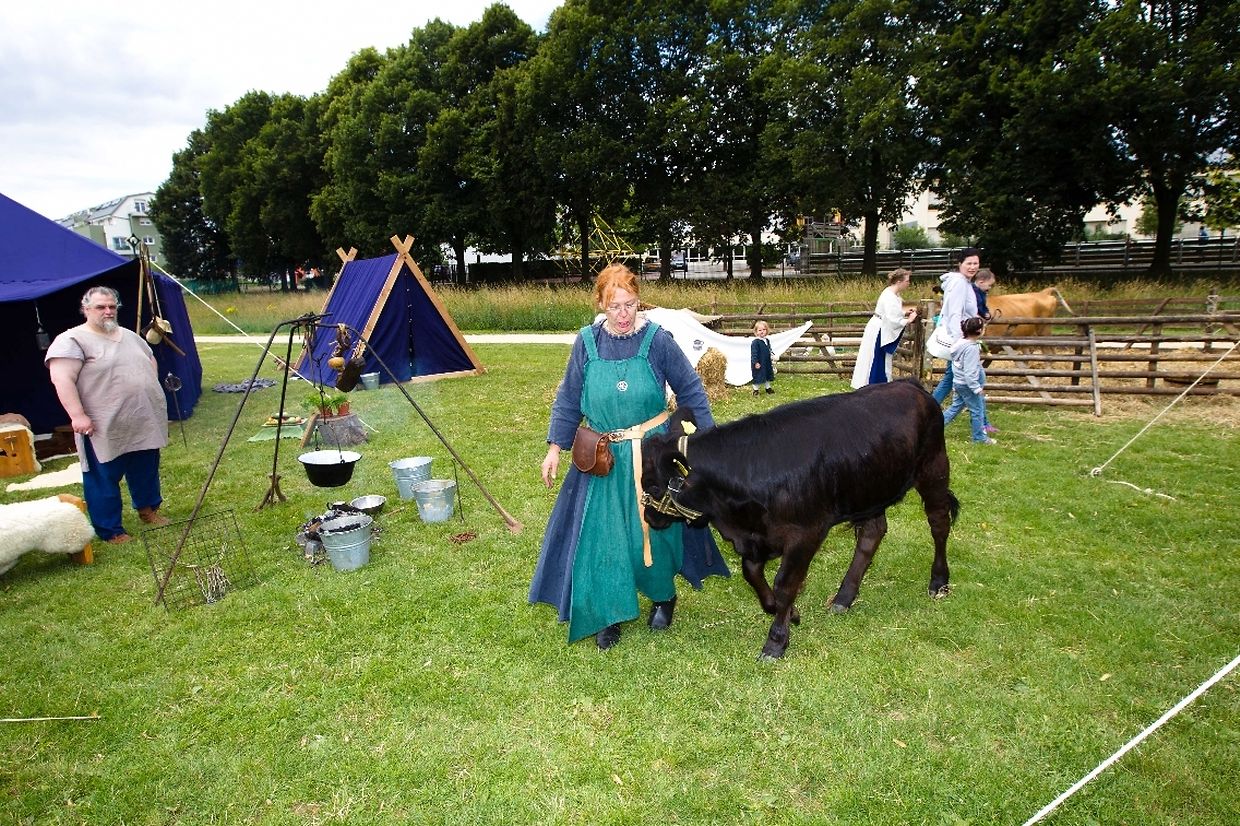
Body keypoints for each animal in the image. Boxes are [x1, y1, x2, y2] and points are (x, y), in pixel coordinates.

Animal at [641, 380, 959, 659]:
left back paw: (939, 582)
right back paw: (843, 598)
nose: (648, 517)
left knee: (939, 524)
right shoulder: (759, 537)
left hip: (934, 468)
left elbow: (785, 584)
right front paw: (786, 611)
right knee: (872, 533)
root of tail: (910, 385)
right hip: (869, 488)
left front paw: (776, 642)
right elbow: (752, 574)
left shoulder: (805, 533)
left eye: (653, 486)